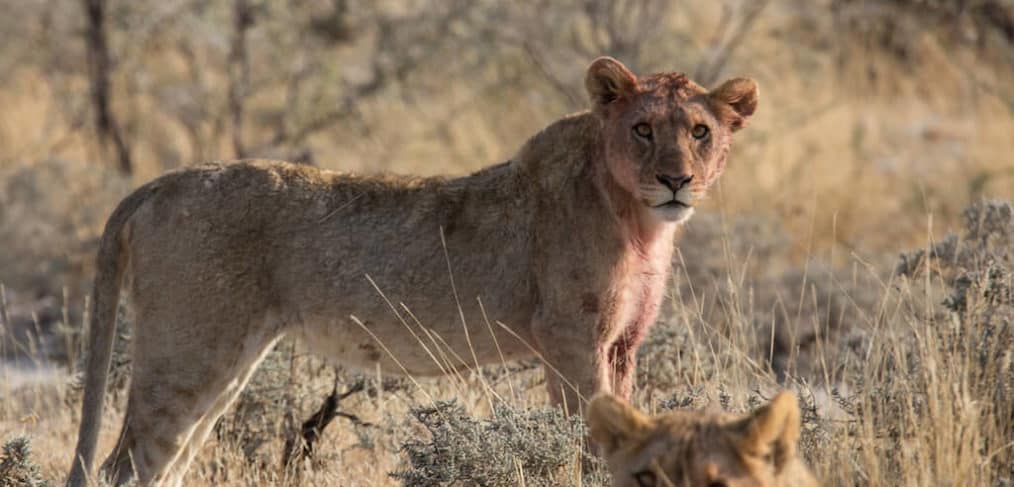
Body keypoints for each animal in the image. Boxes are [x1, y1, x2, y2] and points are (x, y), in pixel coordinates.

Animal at [67, 56, 758, 482]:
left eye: (700, 131)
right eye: (642, 129)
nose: (676, 180)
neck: (639, 224)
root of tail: (159, 182)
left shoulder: (621, 346)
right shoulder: (570, 340)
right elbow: (586, 440)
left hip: (226, 361)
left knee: (170, 460)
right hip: (189, 353)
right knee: (126, 465)